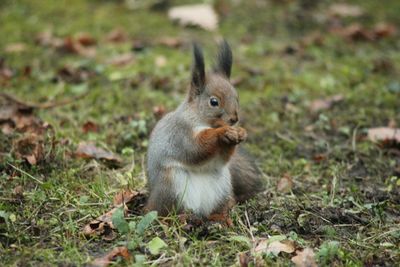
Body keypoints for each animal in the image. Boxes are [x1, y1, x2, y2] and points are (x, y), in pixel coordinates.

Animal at [145, 40, 262, 221]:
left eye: (237, 97)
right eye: (214, 102)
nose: (234, 119)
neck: (203, 121)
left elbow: (221, 158)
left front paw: (241, 132)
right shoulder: (180, 135)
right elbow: (196, 149)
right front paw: (222, 133)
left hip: (222, 186)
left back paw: (222, 217)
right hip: (171, 185)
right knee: (165, 212)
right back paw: (178, 218)